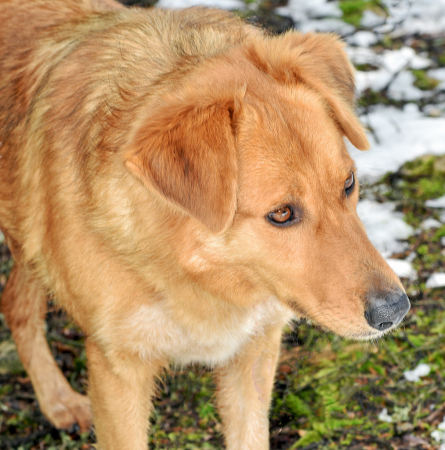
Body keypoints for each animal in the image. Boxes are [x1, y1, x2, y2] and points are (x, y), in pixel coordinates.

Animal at [0, 0, 410, 450]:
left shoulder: (253, 351)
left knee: (14, 303)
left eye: (349, 184)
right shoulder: (119, 369)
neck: (196, 268)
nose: (395, 310)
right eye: (282, 213)